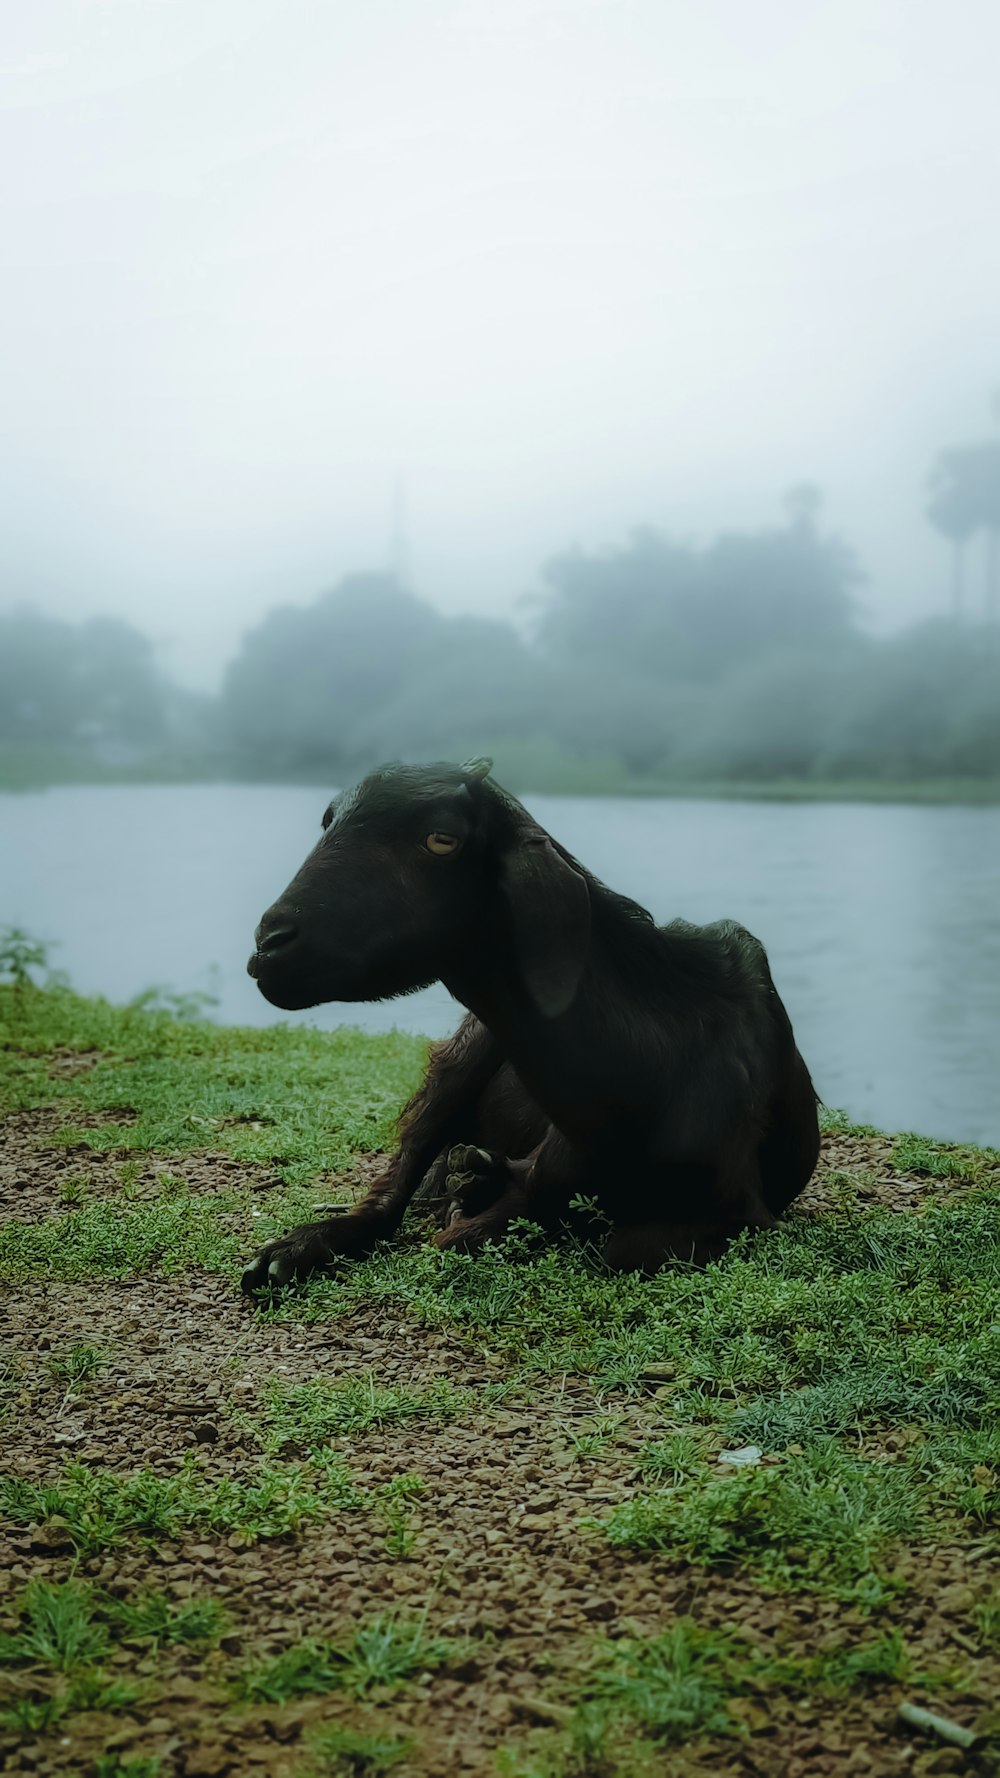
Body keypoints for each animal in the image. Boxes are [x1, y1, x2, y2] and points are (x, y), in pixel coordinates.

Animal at [243, 757, 818, 1287]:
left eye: (442, 839)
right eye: (329, 820)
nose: (268, 945)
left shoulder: (747, 1213)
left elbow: (616, 1246)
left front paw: (475, 1191)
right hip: (462, 1056)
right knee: (393, 1187)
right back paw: (291, 1251)